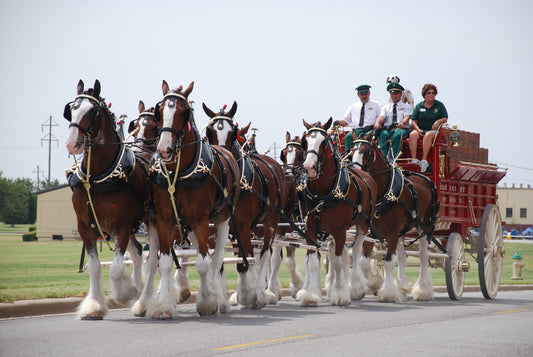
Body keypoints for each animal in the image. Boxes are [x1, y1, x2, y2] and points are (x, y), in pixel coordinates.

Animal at [64, 79, 148, 318]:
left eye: (92, 111)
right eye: (72, 109)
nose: (72, 144)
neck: (98, 178)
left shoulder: (121, 226)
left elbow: (117, 268)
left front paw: (125, 292)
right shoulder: (85, 226)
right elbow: (94, 267)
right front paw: (94, 305)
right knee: (138, 252)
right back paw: (141, 296)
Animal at [150, 80, 241, 318]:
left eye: (183, 112)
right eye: (159, 111)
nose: (164, 149)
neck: (180, 173)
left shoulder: (201, 220)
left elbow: (203, 264)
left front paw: (207, 301)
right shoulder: (165, 219)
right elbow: (164, 262)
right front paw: (163, 305)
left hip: (222, 220)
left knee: (217, 259)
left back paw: (219, 296)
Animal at [298, 118, 376, 304]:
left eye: (323, 142)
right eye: (305, 141)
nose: (309, 167)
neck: (322, 193)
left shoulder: (340, 230)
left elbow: (339, 262)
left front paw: (340, 293)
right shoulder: (310, 230)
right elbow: (313, 262)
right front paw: (312, 294)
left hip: (362, 225)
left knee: (356, 252)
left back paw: (354, 286)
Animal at [352, 131, 438, 300]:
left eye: (365, 151)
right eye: (351, 151)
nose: (356, 172)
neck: (384, 192)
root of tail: (426, 179)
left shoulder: (392, 233)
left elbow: (389, 262)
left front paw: (389, 293)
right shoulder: (371, 232)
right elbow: (364, 262)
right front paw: (375, 283)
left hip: (424, 225)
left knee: (423, 256)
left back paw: (423, 289)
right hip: (402, 231)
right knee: (403, 256)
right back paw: (402, 286)